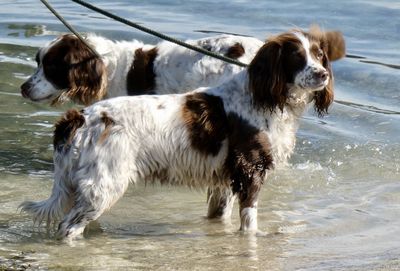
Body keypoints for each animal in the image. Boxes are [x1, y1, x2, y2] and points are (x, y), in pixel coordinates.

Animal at [20, 27, 342, 240]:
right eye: (296, 58)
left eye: (319, 55)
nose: (322, 74)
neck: (262, 97)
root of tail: (80, 119)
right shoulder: (250, 173)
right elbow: (249, 222)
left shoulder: (224, 180)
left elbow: (218, 215)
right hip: (103, 186)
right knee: (67, 228)